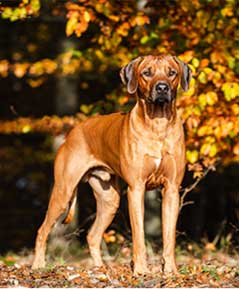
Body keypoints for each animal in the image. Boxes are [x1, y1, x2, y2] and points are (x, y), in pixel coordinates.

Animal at [32, 54, 190, 274]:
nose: (162, 88)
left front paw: (171, 271)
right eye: (147, 73)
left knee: (92, 235)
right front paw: (141, 270)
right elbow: (139, 235)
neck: (158, 125)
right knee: (42, 230)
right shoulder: (136, 189)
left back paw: (100, 269)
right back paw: (38, 265)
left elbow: (169, 236)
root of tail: (72, 132)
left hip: (109, 199)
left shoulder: (172, 189)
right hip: (63, 191)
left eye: (171, 73)